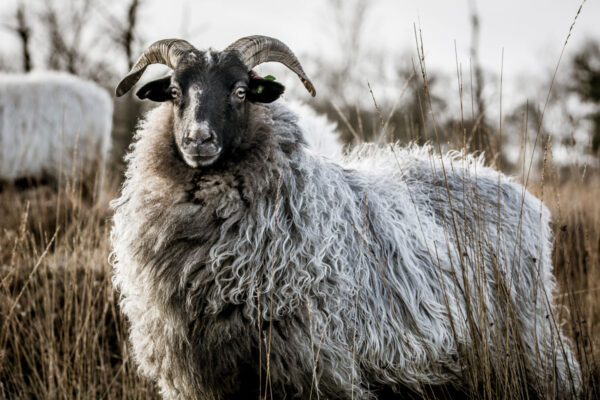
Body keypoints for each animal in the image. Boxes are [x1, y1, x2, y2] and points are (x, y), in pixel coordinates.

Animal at [110, 36, 580, 398]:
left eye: (241, 91)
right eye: (174, 92)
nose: (198, 140)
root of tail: (519, 193)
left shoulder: (316, 367)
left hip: (531, 345)